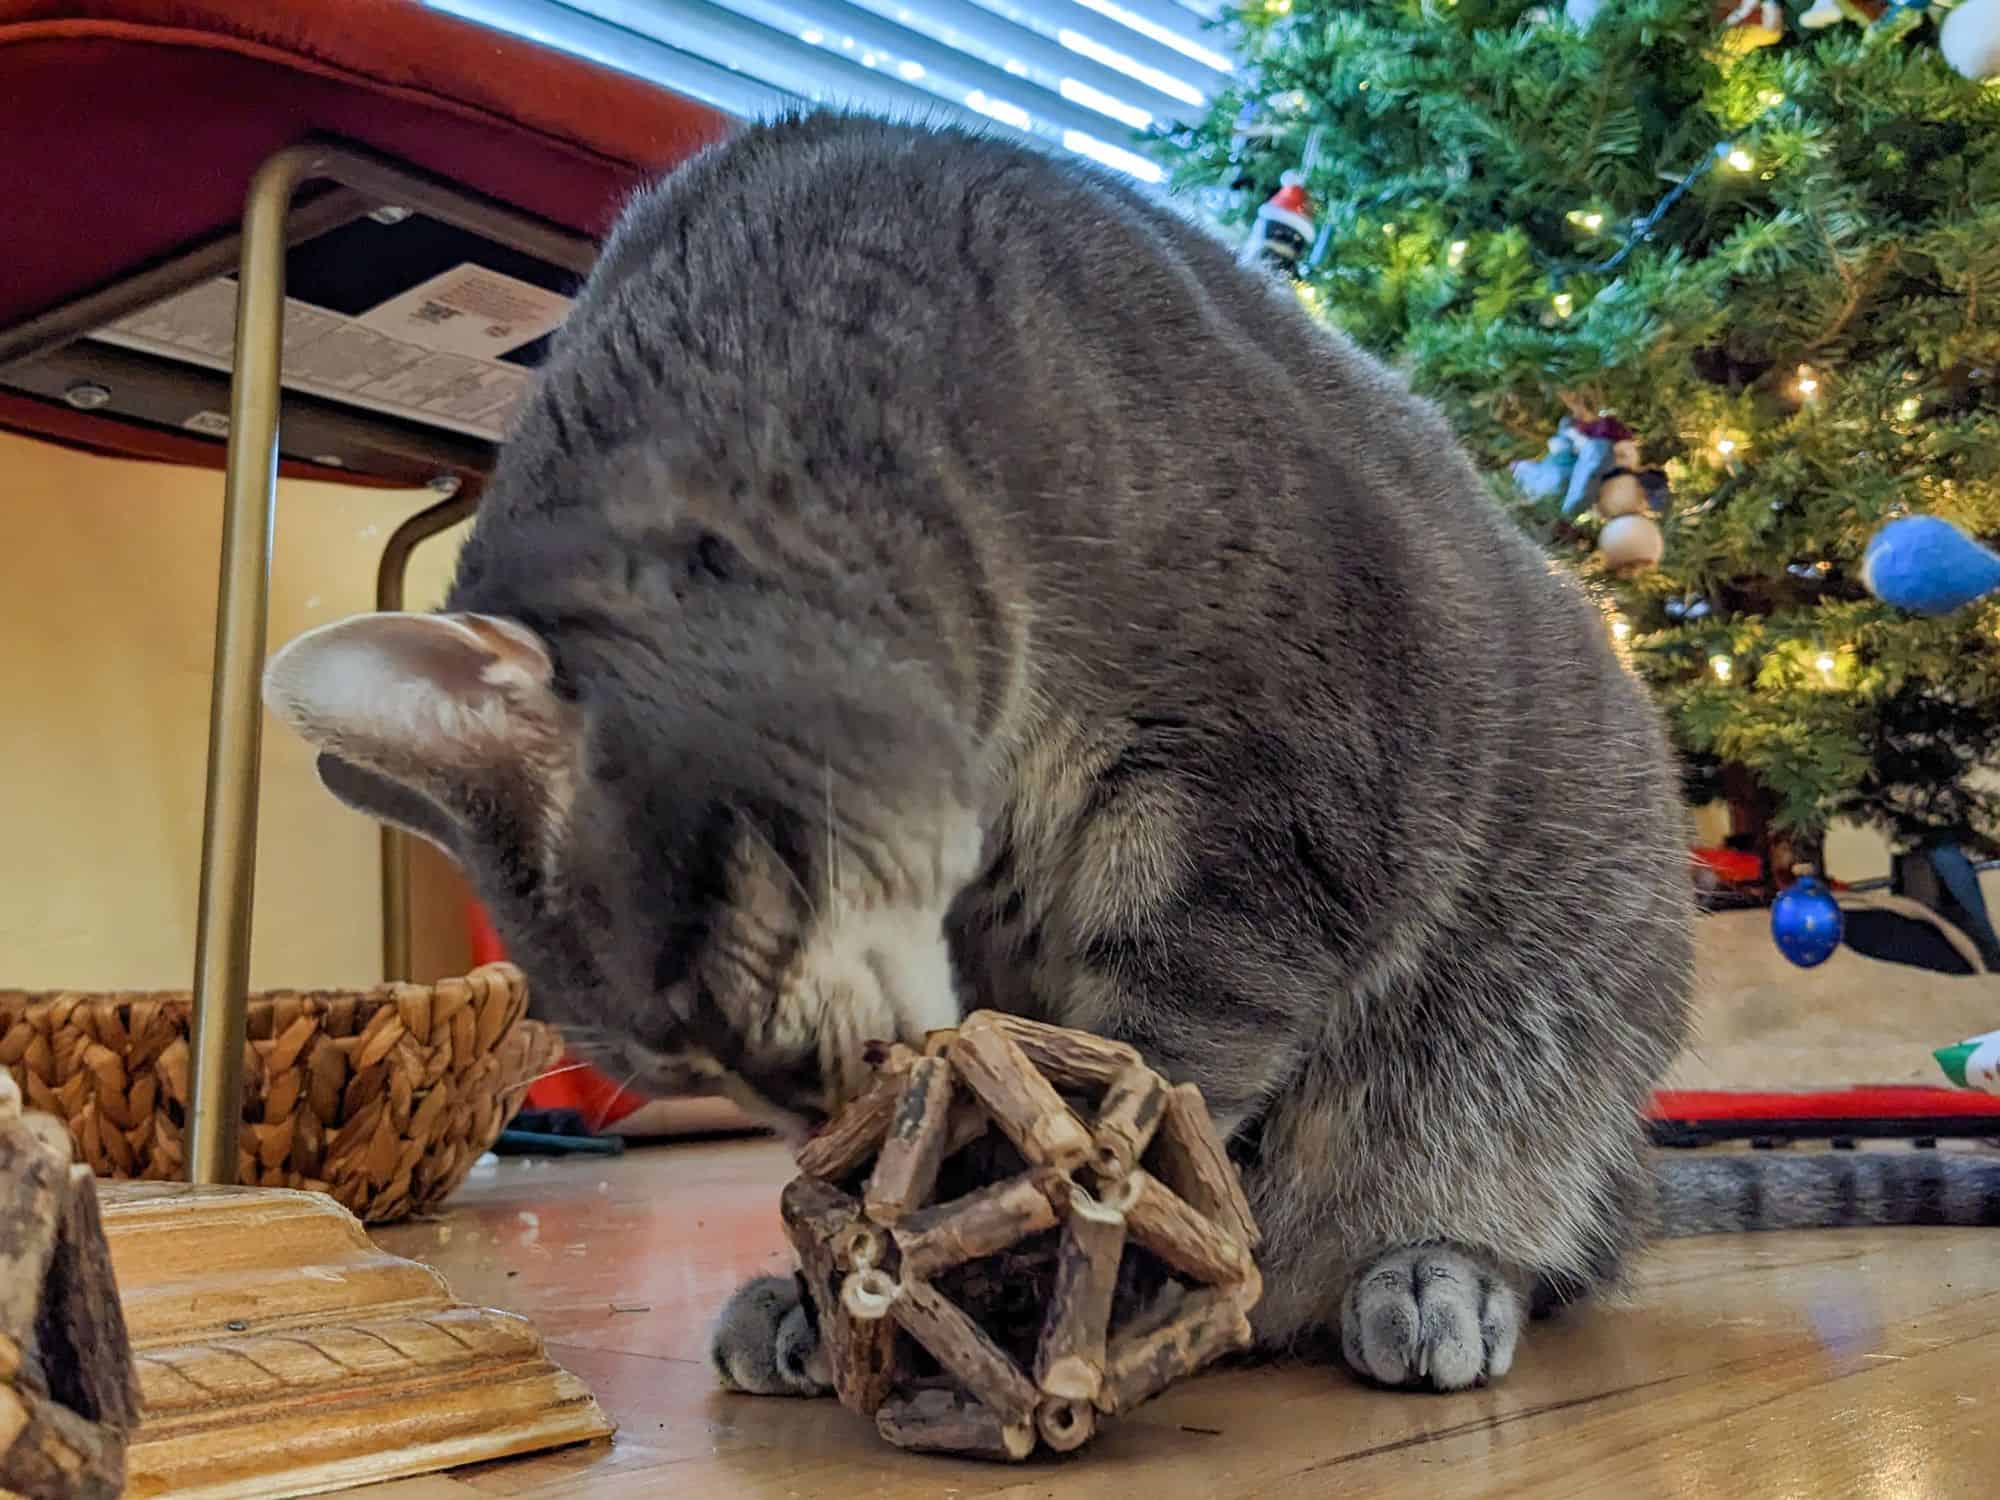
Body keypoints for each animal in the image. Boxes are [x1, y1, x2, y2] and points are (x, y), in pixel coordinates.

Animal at [266, 114, 2000, 1400]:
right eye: (670, 1074)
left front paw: (1018, 1256)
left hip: (1546, 1014)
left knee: (1520, 1205)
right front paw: (855, 1268)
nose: (824, 1103)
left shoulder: (1264, 807)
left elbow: (1149, 1067)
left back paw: (1430, 1275)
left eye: (724, 956)